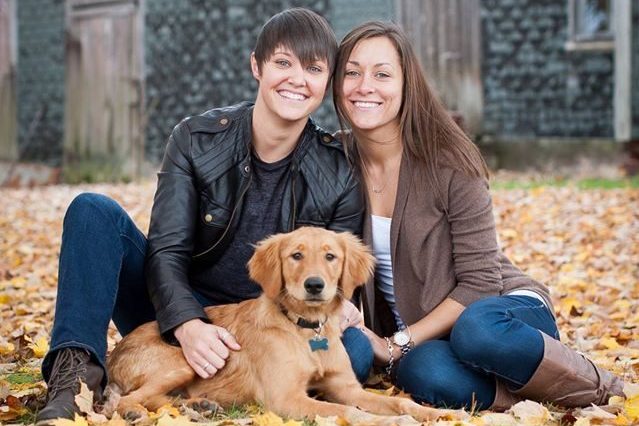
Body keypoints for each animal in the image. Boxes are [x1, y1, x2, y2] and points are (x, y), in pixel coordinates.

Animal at [104, 228, 456, 422]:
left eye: (330, 256)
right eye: (296, 255)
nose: (314, 285)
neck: (306, 330)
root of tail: (115, 353)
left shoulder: (346, 387)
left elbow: (397, 400)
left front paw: (436, 413)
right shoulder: (285, 399)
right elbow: (346, 412)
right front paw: (388, 422)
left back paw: (199, 406)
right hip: (182, 361)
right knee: (128, 399)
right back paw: (140, 412)